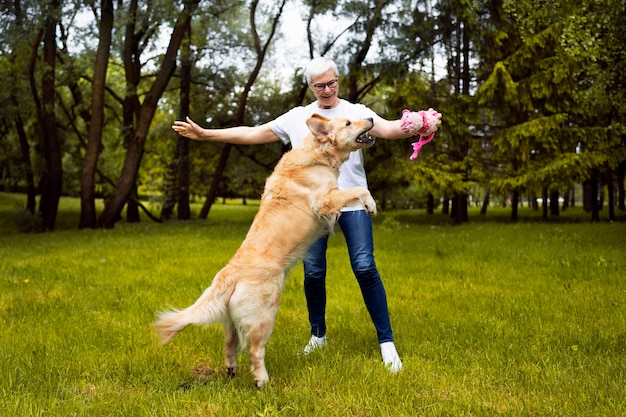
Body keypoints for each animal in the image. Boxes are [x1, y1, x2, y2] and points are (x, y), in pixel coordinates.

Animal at [155, 113, 376, 386]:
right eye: (348, 123)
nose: (370, 118)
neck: (319, 154)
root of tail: (229, 275)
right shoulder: (324, 199)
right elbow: (359, 189)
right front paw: (371, 205)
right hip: (265, 315)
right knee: (254, 349)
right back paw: (263, 381)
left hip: (232, 319)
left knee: (229, 343)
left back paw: (231, 370)